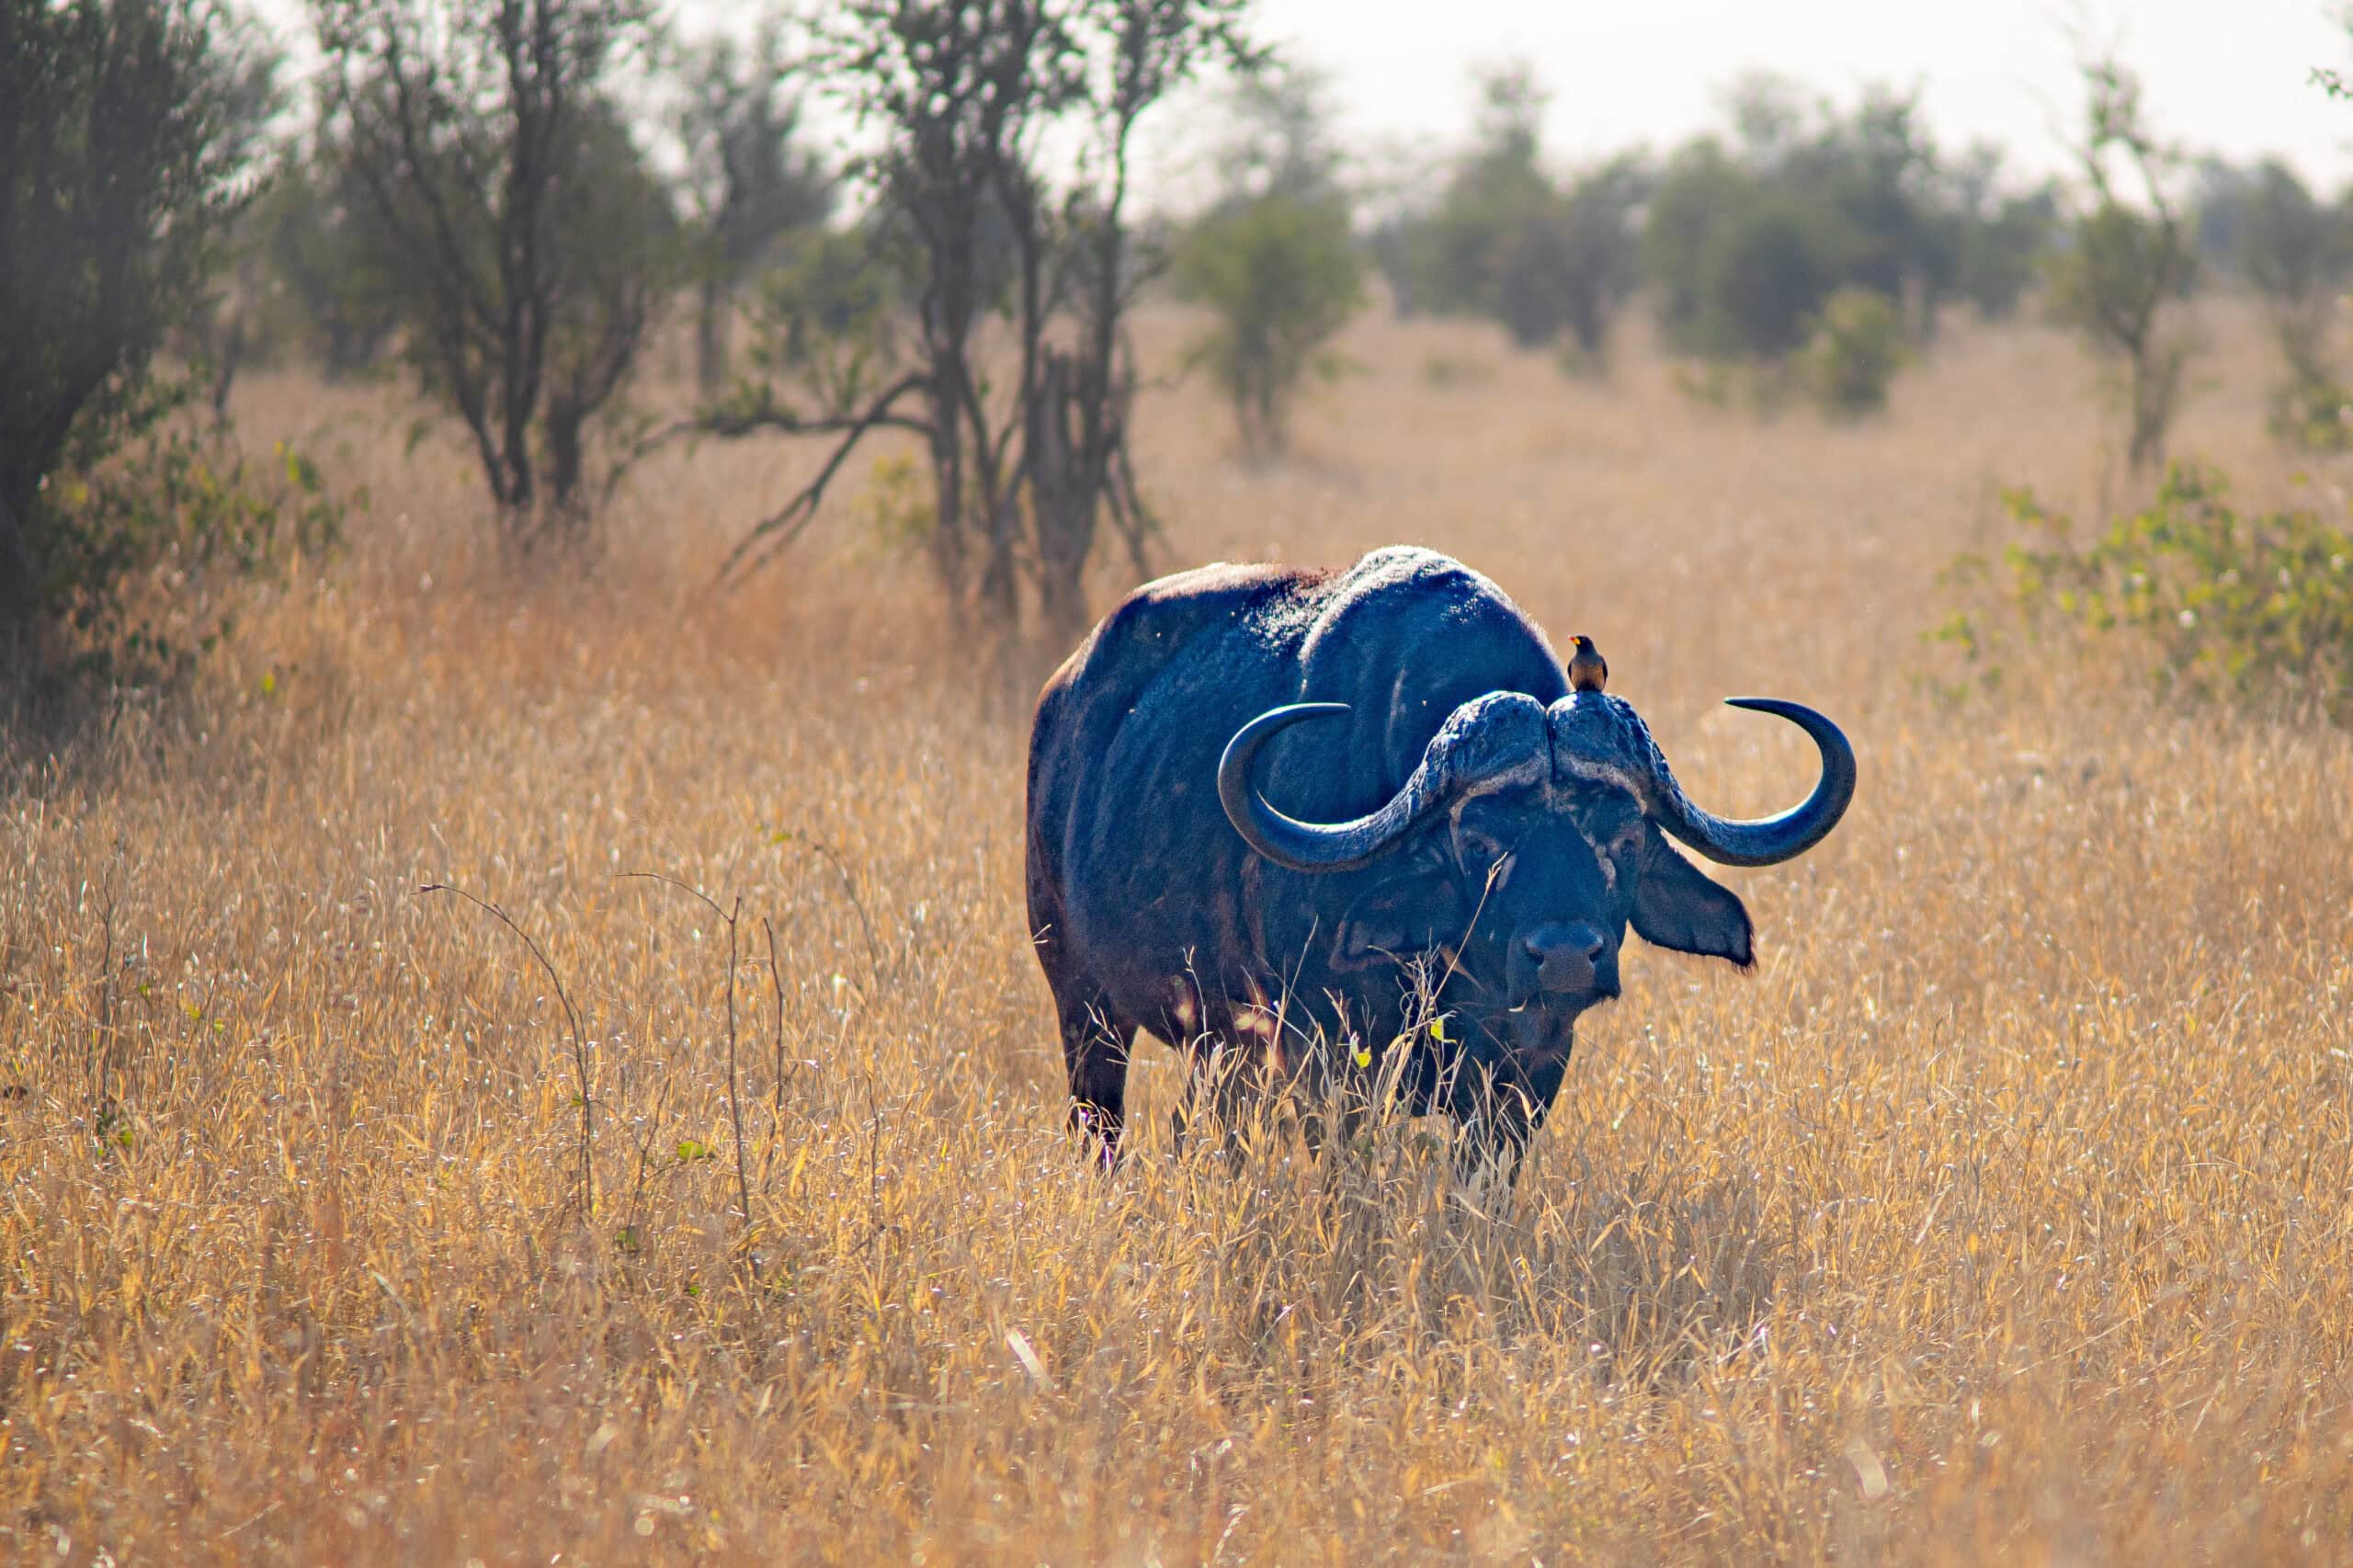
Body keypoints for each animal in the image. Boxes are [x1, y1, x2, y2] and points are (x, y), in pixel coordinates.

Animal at [1024, 546, 1855, 1169]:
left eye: (1623, 838)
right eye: (1477, 841)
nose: (1564, 957)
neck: (1460, 978)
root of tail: (1062, 696)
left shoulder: (1532, 1070)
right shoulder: (1323, 1055)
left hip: (1214, 1044)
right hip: (1082, 1005)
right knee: (1100, 1124)